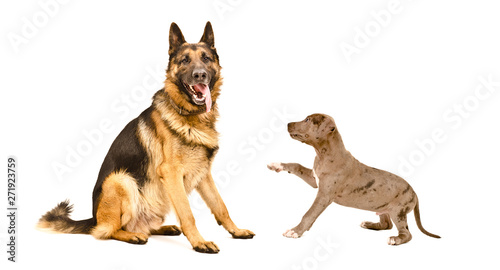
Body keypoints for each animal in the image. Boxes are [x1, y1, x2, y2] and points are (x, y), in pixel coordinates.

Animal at [38, 21, 254, 253]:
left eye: (206, 58)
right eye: (184, 60)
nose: (200, 75)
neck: (190, 116)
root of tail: (94, 218)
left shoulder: (203, 174)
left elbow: (221, 206)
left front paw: (236, 231)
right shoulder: (171, 173)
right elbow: (187, 214)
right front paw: (199, 242)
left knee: (143, 226)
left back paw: (163, 228)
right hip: (121, 180)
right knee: (107, 231)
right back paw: (132, 236)